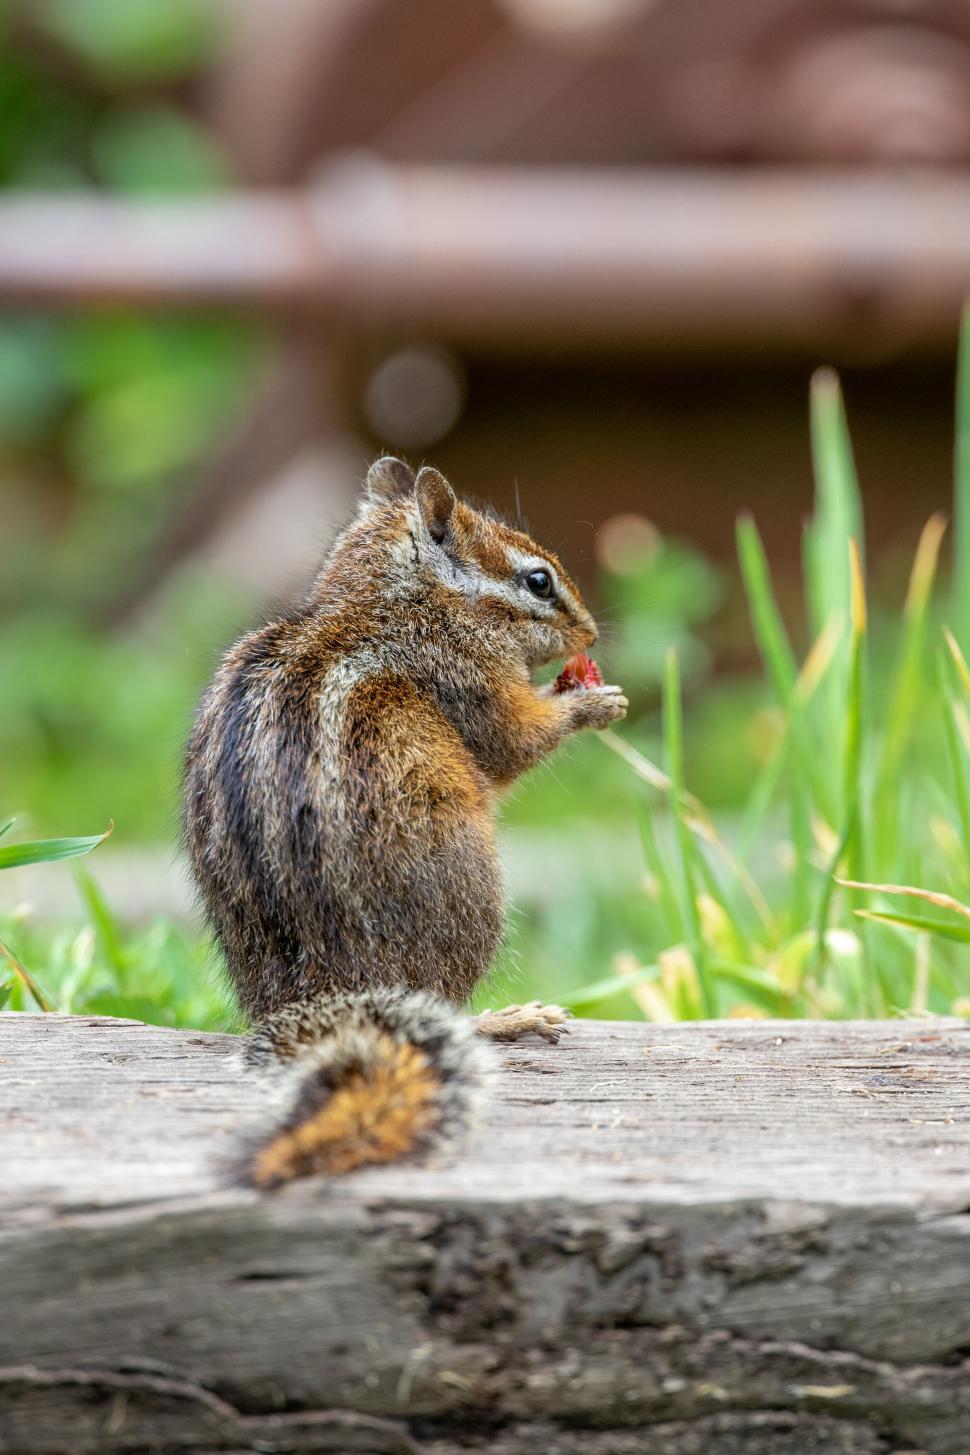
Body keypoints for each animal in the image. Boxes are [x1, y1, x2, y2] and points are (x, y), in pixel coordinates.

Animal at [183, 457, 627, 1188]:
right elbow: (513, 744)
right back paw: (506, 1020)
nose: (589, 634)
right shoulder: (469, 679)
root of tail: (322, 1003)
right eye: (539, 580)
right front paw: (591, 702)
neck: (389, 601)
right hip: (475, 902)